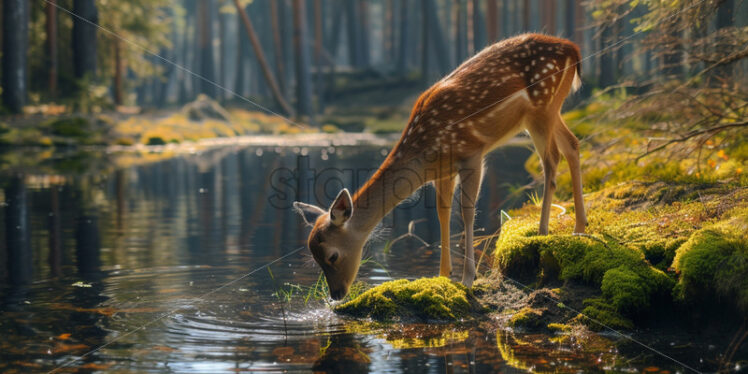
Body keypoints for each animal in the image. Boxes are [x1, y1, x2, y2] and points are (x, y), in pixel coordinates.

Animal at [296, 33, 588, 300]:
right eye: (315, 259)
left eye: (332, 256)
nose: (336, 294)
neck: (426, 153)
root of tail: (573, 49)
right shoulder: (442, 172)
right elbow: (442, 213)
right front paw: (442, 276)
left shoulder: (472, 153)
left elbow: (467, 211)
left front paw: (468, 279)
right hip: (548, 111)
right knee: (573, 144)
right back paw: (580, 227)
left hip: (542, 107)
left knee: (551, 160)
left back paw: (542, 231)